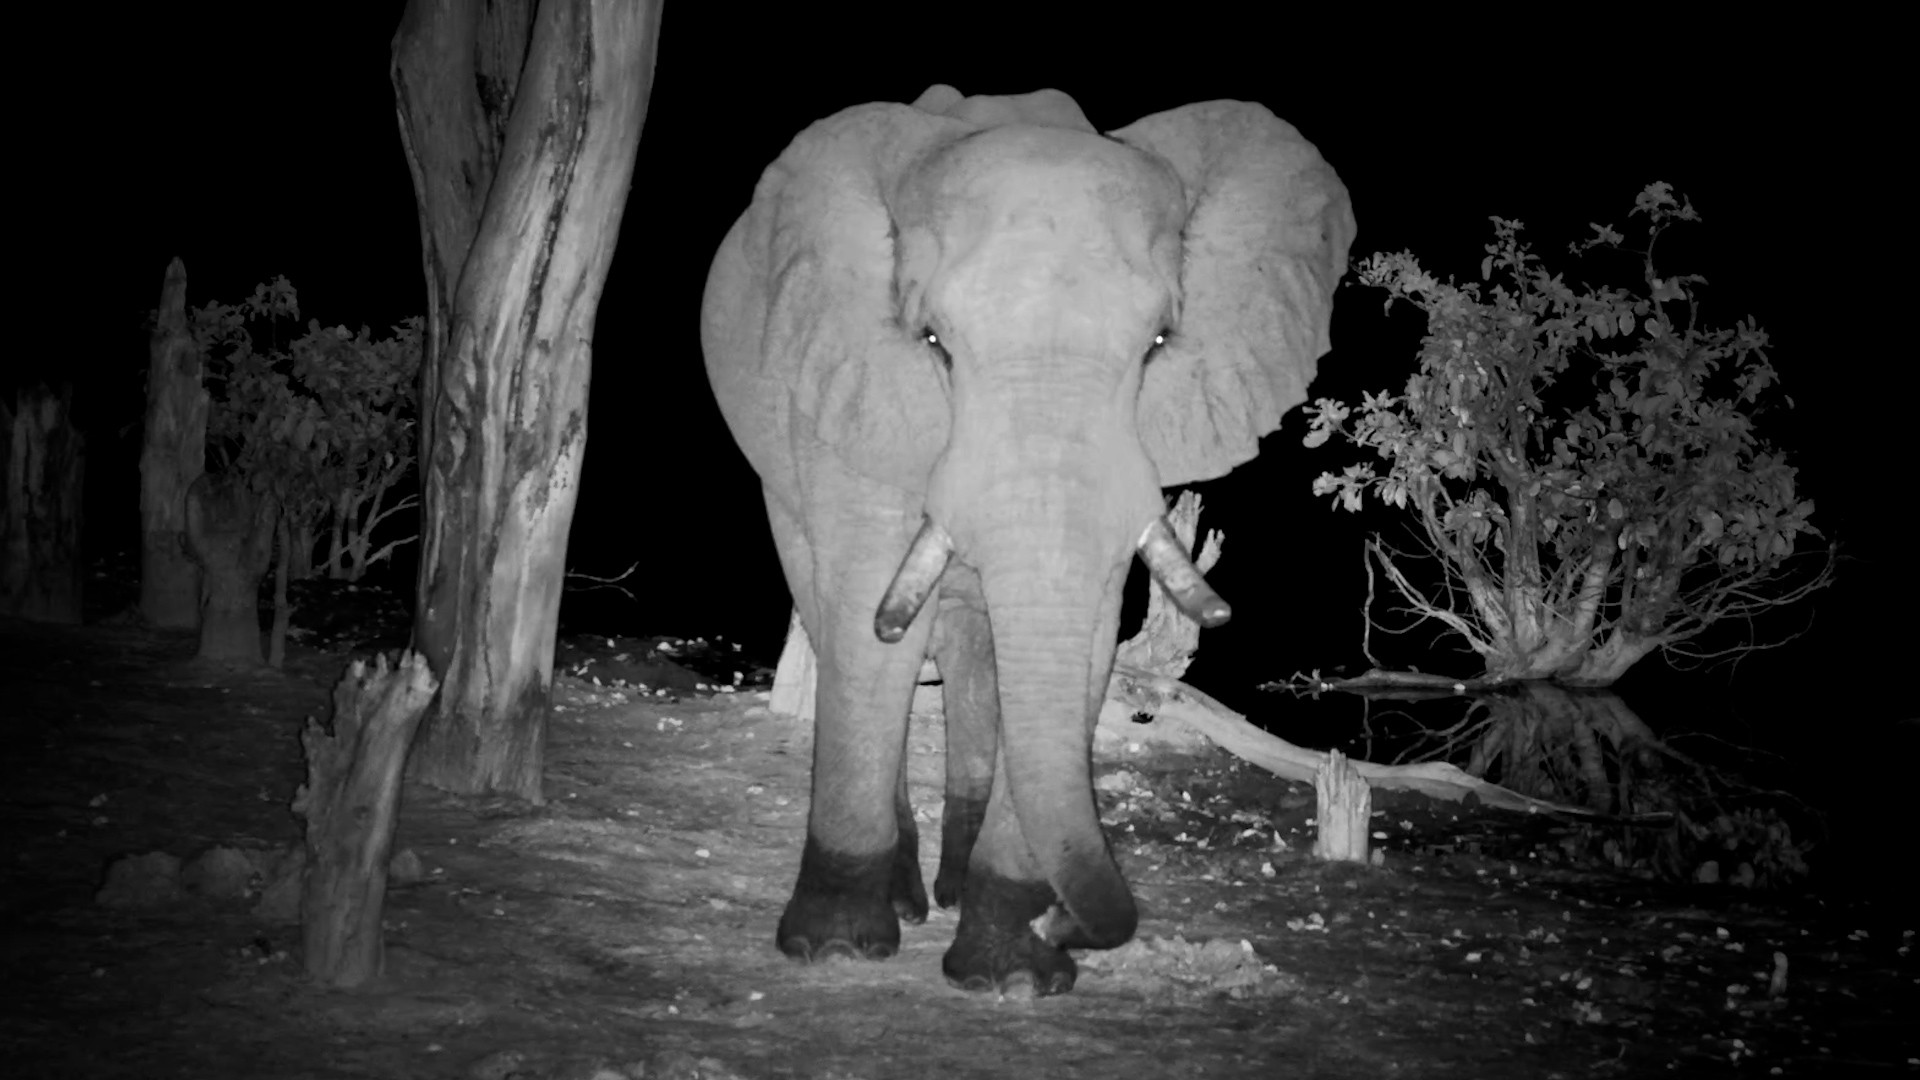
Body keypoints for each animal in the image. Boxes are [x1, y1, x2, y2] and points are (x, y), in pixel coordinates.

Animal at [701, 84, 1353, 995]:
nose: (1065, 922)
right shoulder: (854, 388)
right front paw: (834, 949)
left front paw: (1012, 970)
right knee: (842, 615)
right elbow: (873, 626)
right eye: (932, 343)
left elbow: (1084, 638)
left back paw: (951, 886)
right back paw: (908, 899)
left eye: (1158, 346)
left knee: (978, 652)